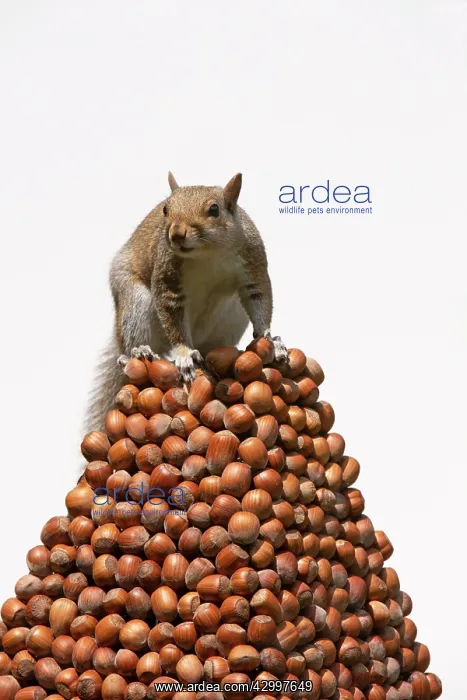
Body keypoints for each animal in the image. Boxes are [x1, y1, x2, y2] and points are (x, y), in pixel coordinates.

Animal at [86, 172, 287, 430]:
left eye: (214, 209)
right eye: (165, 209)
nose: (176, 233)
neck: (208, 253)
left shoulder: (253, 263)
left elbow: (259, 298)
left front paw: (269, 338)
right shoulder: (167, 279)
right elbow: (172, 316)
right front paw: (184, 356)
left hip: (231, 319)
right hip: (135, 303)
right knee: (128, 346)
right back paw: (138, 352)